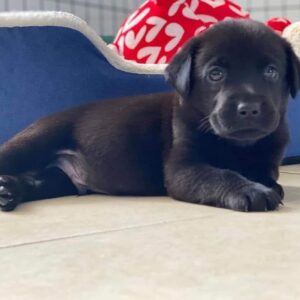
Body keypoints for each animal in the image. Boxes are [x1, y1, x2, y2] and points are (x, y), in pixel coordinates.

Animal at [0, 19, 300, 211]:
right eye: (215, 74)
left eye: (271, 71)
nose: (248, 108)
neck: (238, 146)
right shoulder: (183, 169)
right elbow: (220, 175)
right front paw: (250, 190)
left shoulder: (267, 158)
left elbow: (265, 174)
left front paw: (265, 184)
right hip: (33, 143)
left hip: (59, 180)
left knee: (37, 180)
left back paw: (8, 191)